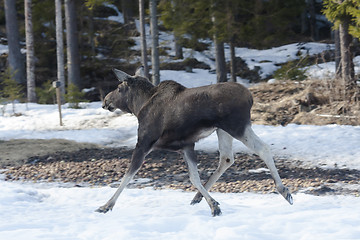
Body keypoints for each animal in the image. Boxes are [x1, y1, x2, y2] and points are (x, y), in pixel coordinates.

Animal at [96, 66, 292, 217]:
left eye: (119, 87)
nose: (105, 100)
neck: (138, 107)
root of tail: (251, 97)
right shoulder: (187, 145)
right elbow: (194, 177)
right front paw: (213, 204)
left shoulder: (144, 142)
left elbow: (128, 175)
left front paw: (106, 205)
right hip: (223, 130)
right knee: (227, 157)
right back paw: (197, 197)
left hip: (236, 126)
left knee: (262, 148)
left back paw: (283, 190)